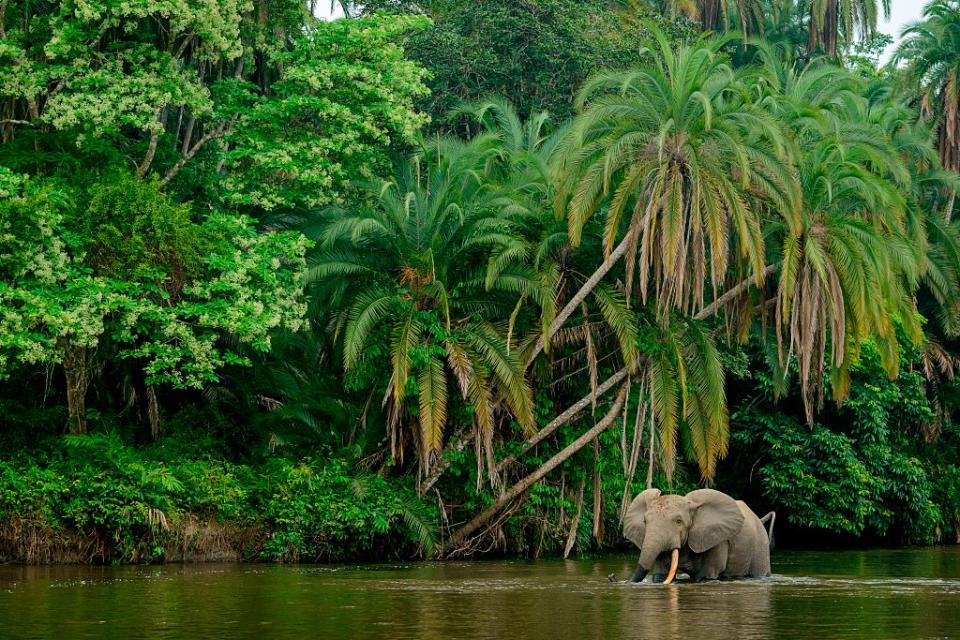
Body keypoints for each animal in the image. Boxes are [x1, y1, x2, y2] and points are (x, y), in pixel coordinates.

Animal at [624, 488, 772, 584]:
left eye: (679, 521)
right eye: (645, 521)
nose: (612, 578)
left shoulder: (717, 539)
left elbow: (707, 575)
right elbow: (660, 574)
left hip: (761, 545)